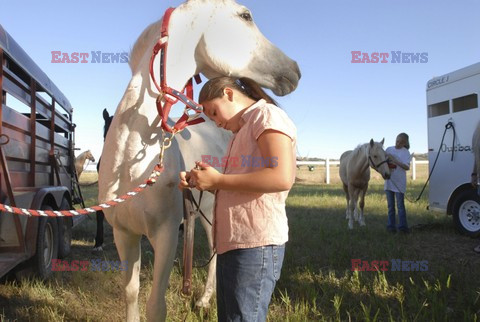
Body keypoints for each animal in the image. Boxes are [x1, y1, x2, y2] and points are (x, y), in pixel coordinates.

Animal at [97, 1, 300, 320]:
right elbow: (131, 294)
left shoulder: (166, 234)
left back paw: (204, 300)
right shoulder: (124, 233)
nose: (295, 70)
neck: (131, 165)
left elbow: (156, 304)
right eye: (245, 16)